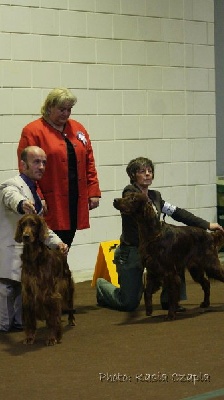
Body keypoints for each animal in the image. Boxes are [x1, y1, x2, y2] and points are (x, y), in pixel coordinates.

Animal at [14, 214, 75, 346]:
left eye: (33, 224)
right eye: (23, 224)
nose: (26, 236)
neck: (34, 256)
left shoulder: (50, 293)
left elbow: (52, 319)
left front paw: (52, 338)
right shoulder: (28, 292)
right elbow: (30, 319)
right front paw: (30, 337)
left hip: (67, 287)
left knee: (70, 306)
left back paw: (71, 320)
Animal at [113, 192, 224, 320]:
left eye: (133, 198)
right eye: (125, 195)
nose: (115, 200)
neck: (153, 234)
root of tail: (210, 235)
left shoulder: (169, 272)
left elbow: (171, 295)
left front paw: (171, 314)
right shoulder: (152, 271)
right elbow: (147, 291)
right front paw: (149, 310)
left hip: (211, 265)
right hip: (195, 269)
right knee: (206, 283)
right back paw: (205, 303)